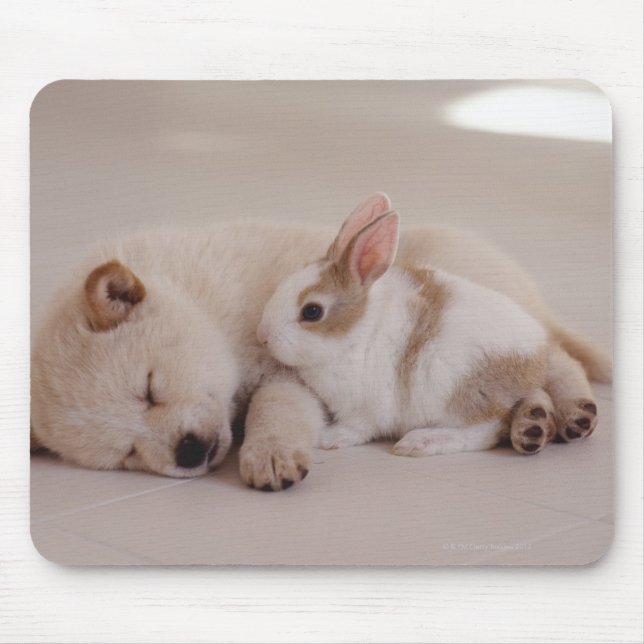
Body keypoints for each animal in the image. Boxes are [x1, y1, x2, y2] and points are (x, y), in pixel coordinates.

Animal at [258, 204, 600, 457]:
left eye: (312, 312)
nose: (263, 335)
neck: (356, 334)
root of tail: (536, 356)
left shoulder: (365, 409)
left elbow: (357, 428)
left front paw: (329, 438)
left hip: (456, 391)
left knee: (484, 431)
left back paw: (419, 442)